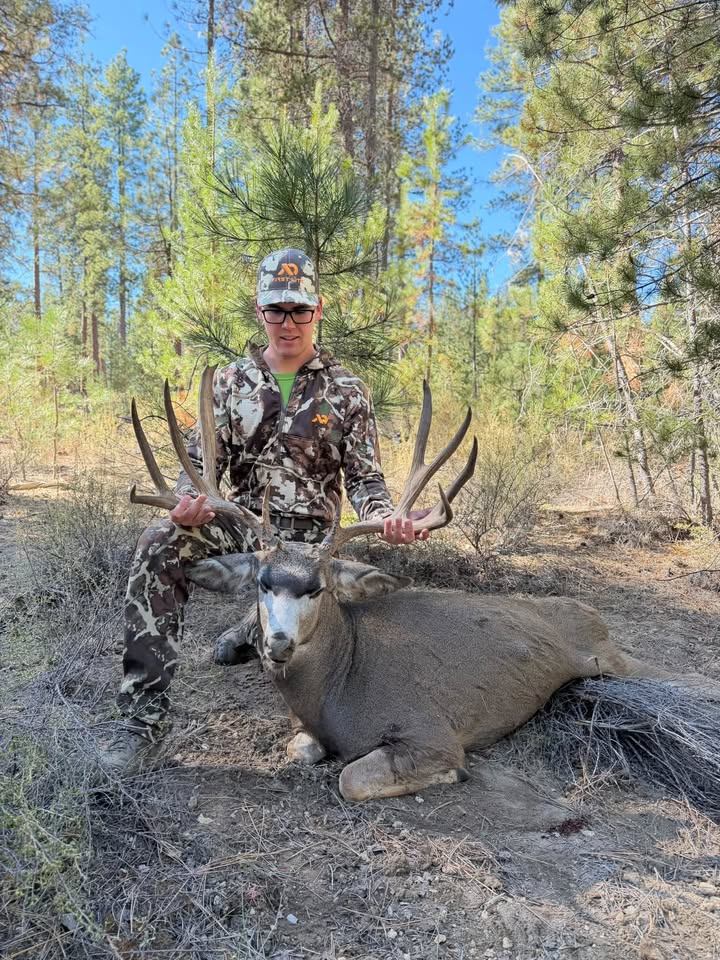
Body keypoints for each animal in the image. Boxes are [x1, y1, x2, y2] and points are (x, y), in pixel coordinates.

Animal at [128, 368, 712, 804]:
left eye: (318, 589)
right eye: (262, 585)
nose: (277, 643)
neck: (340, 685)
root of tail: (590, 612)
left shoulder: (430, 730)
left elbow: (352, 777)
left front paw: (450, 774)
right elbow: (301, 749)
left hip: (612, 658)